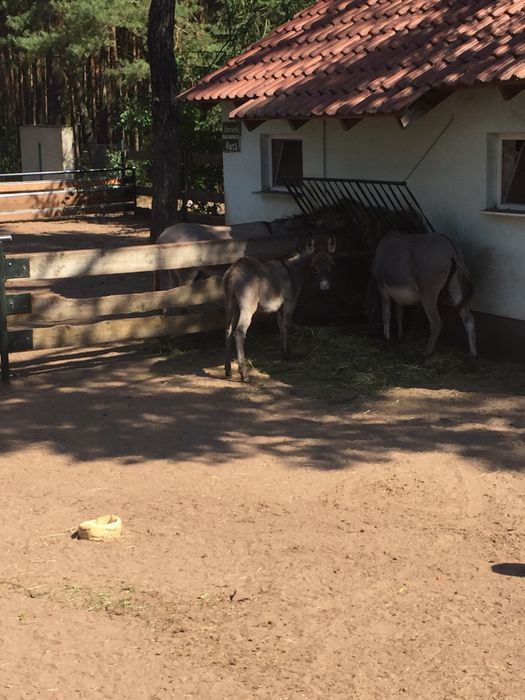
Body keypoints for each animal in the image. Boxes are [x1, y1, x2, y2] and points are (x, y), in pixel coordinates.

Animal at [222, 235, 336, 382]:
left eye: (331, 266)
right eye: (314, 268)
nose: (325, 287)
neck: (292, 272)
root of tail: (233, 272)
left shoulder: (280, 307)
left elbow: (281, 326)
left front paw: (283, 351)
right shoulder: (290, 302)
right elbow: (287, 325)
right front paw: (288, 354)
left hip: (232, 306)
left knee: (228, 331)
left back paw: (228, 370)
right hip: (247, 308)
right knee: (239, 332)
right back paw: (244, 375)